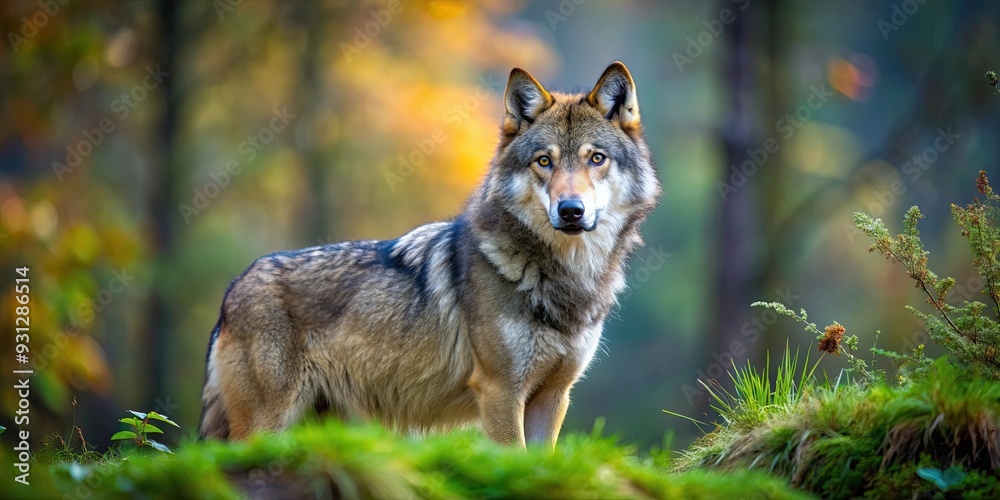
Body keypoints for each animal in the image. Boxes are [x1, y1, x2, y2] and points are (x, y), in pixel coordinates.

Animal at [199, 61, 661, 448]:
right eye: (544, 161)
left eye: (596, 158)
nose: (570, 210)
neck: (564, 275)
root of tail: (233, 288)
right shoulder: (500, 392)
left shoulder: (553, 396)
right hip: (268, 425)